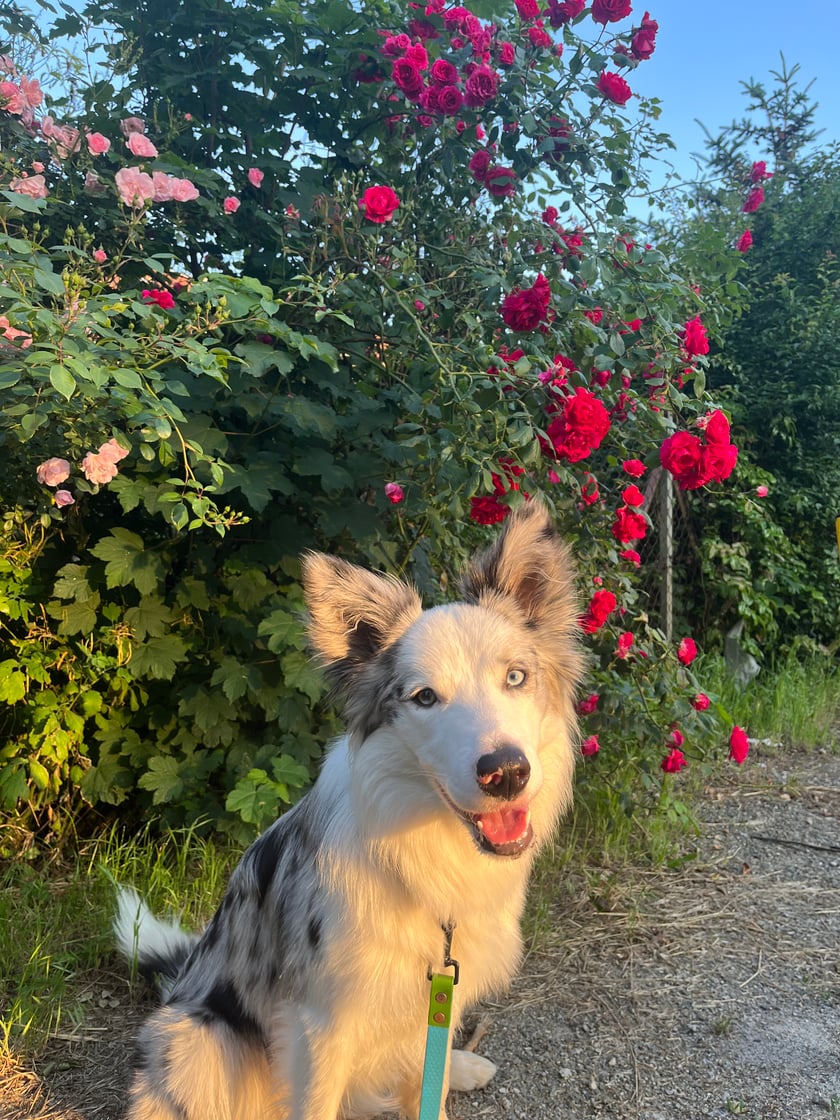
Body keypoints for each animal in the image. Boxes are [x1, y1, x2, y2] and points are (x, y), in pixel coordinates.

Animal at [115, 501, 582, 1120]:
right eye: (424, 697)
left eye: (515, 677)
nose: (505, 772)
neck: (425, 853)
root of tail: (176, 989)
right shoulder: (320, 1023)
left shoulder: (440, 997)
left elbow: (426, 1085)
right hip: (199, 1040)